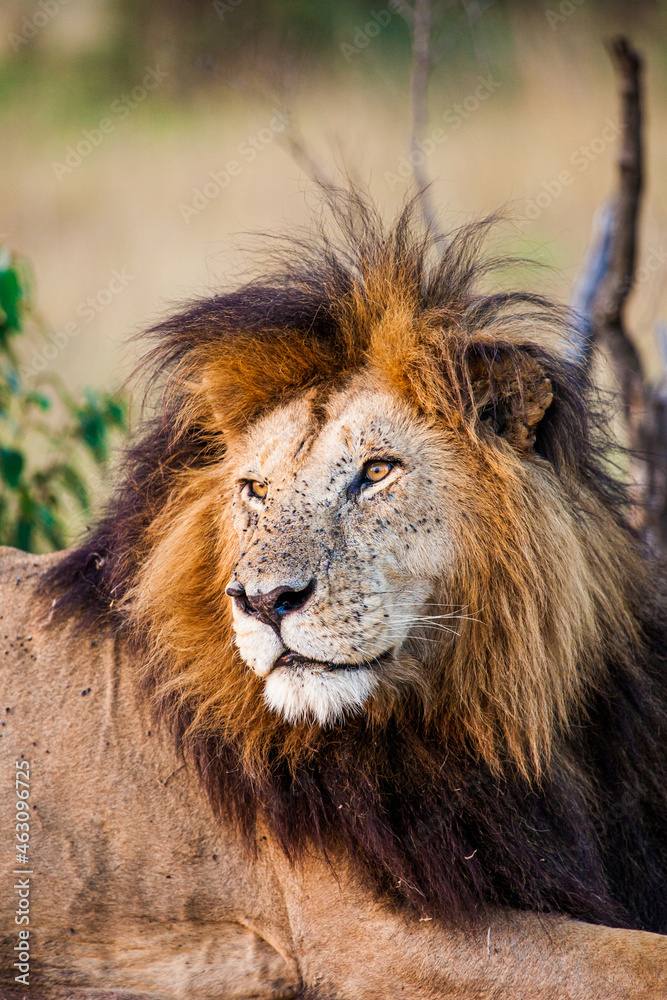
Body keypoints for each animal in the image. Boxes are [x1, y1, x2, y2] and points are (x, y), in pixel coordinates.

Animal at [3, 195, 667, 1000]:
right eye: (254, 490)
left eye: (377, 471)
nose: (263, 601)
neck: (487, 710)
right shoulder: (369, 935)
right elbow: (646, 961)